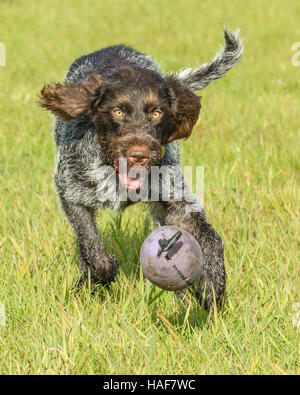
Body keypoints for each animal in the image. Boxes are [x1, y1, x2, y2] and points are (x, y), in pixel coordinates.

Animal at [38, 29, 243, 310]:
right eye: (117, 111)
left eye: (156, 113)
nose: (139, 155)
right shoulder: (72, 195)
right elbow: (92, 248)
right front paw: (104, 271)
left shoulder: (176, 203)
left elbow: (212, 238)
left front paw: (213, 282)